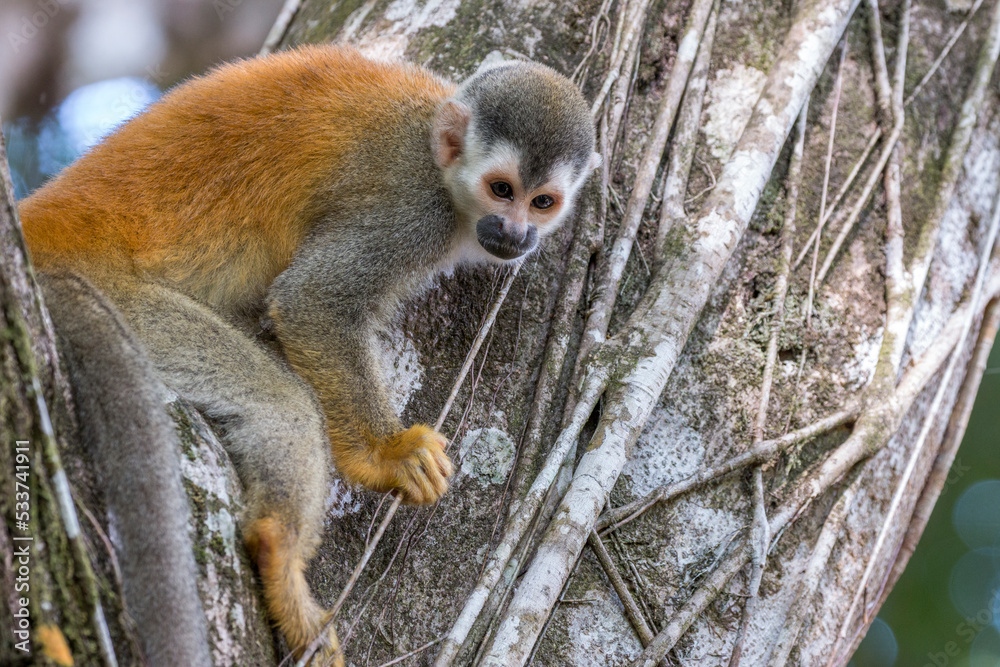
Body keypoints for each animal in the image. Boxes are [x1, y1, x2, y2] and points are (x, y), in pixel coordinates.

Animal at [19, 45, 599, 665]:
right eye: (501, 190)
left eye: (542, 202)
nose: (516, 234)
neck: (435, 151)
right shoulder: (415, 211)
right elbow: (311, 302)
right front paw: (386, 455)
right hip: (126, 305)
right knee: (285, 404)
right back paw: (280, 553)